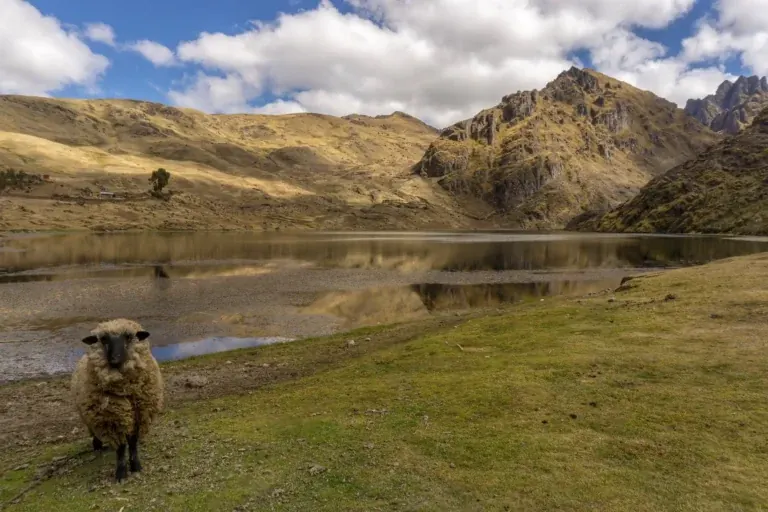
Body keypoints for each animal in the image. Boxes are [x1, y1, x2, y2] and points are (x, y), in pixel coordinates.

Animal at [70, 319, 164, 482]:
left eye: (128, 336)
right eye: (103, 339)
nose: (114, 359)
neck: (125, 389)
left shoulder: (138, 415)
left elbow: (132, 443)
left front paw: (136, 466)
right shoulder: (112, 419)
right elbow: (121, 448)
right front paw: (121, 473)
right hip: (90, 416)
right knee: (94, 432)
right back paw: (97, 446)